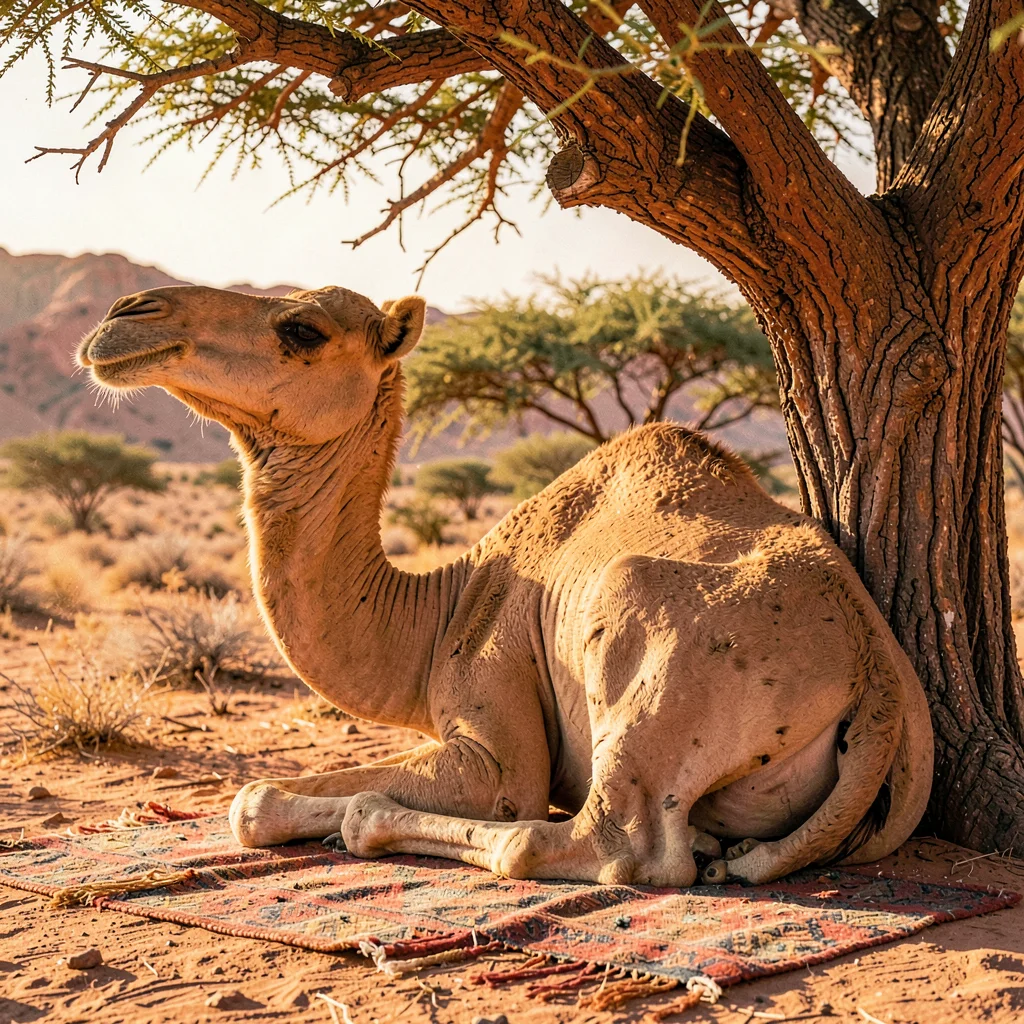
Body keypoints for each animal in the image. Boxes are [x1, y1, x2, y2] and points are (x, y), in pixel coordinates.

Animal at [77, 283, 934, 887]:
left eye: (303, 329)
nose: (126, 315)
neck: (438, 611)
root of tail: (878, 678)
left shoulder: (495, 744)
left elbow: (251, 801)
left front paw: (337, 812)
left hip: (645, 648)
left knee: (600, 843)